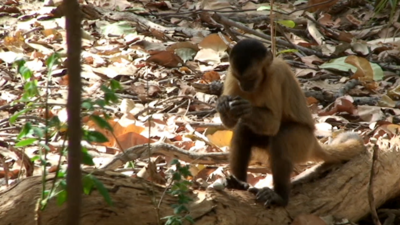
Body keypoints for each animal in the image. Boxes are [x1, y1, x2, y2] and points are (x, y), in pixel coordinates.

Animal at [216, 38, 366, 207]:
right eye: (239, 79)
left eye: (250, 78)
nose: (244, 86)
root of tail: (313, 143)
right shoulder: (231, 74)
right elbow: (231, 124)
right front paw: (223, 105)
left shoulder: (276, 76)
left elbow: (273, 125)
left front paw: (245, 108)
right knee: (243, 130)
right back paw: (239, 183)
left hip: (303, 143)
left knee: (281, 137)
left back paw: (280, 197)